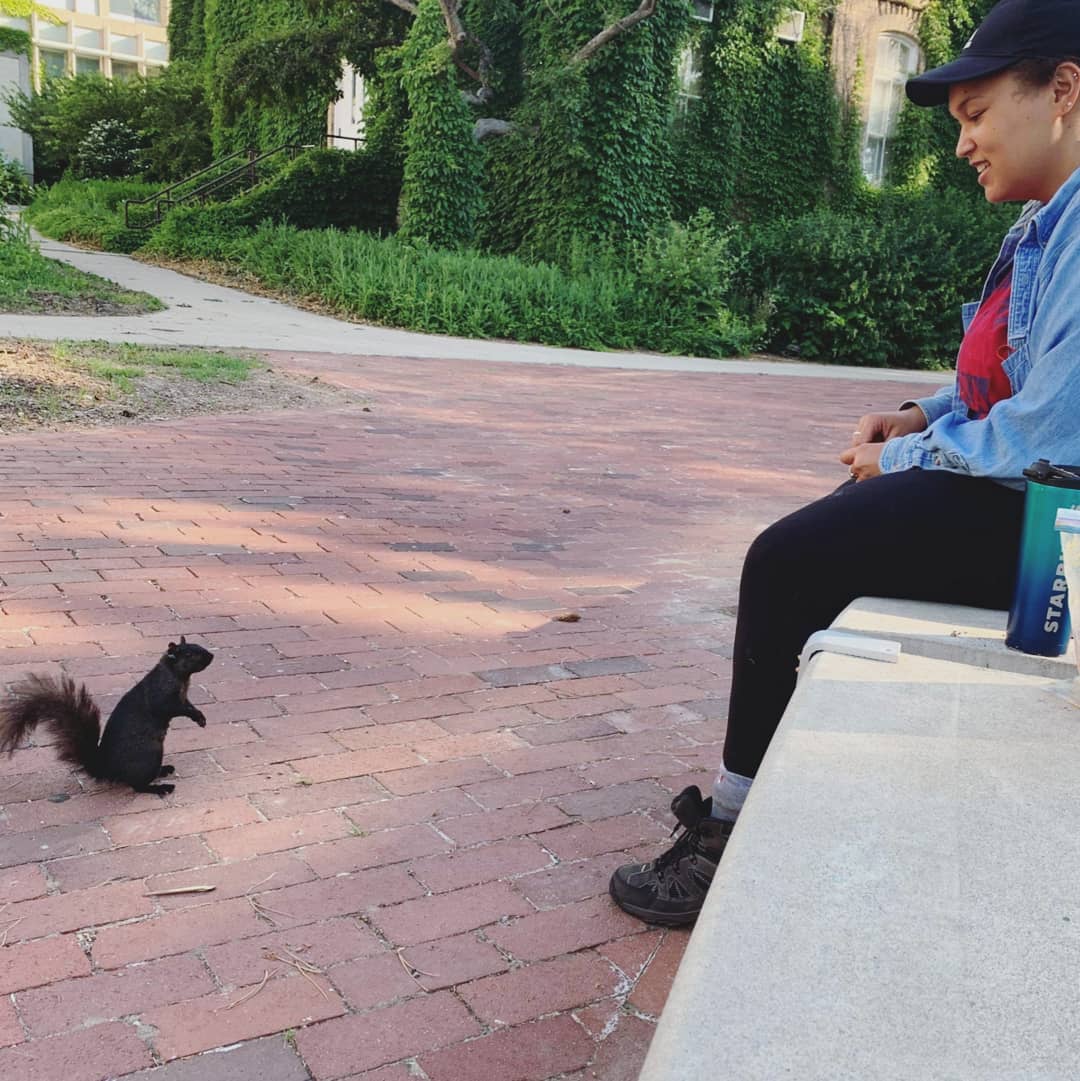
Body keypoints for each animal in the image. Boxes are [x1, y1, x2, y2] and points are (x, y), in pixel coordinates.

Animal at [0, 635, 217, 799]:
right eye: (189, 654)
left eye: (198, 646)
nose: (211, 655)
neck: (178, 677)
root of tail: (107, 769)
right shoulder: (162, 697)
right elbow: (173, 709)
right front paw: (196, 716)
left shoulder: (184, 697)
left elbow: (189, 706)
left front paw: (201, 718)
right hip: (148, 757)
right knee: (137, 785)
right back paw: (160, 787)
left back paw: (164, 770)